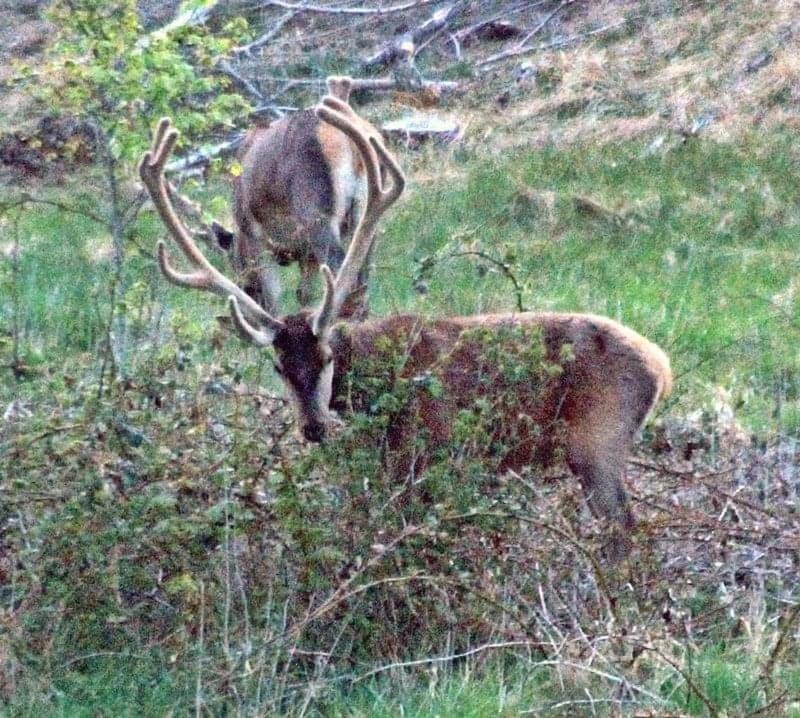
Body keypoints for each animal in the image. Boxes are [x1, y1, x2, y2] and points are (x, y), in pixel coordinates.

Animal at [209, 76, 384, 318]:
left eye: (239, 277)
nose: (246, 290)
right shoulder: (305, 252)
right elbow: (304, 293)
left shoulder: (255, 237)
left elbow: (274, 296)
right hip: (365, 216)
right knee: (362, 277)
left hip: (316, 209)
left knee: (341, 271)